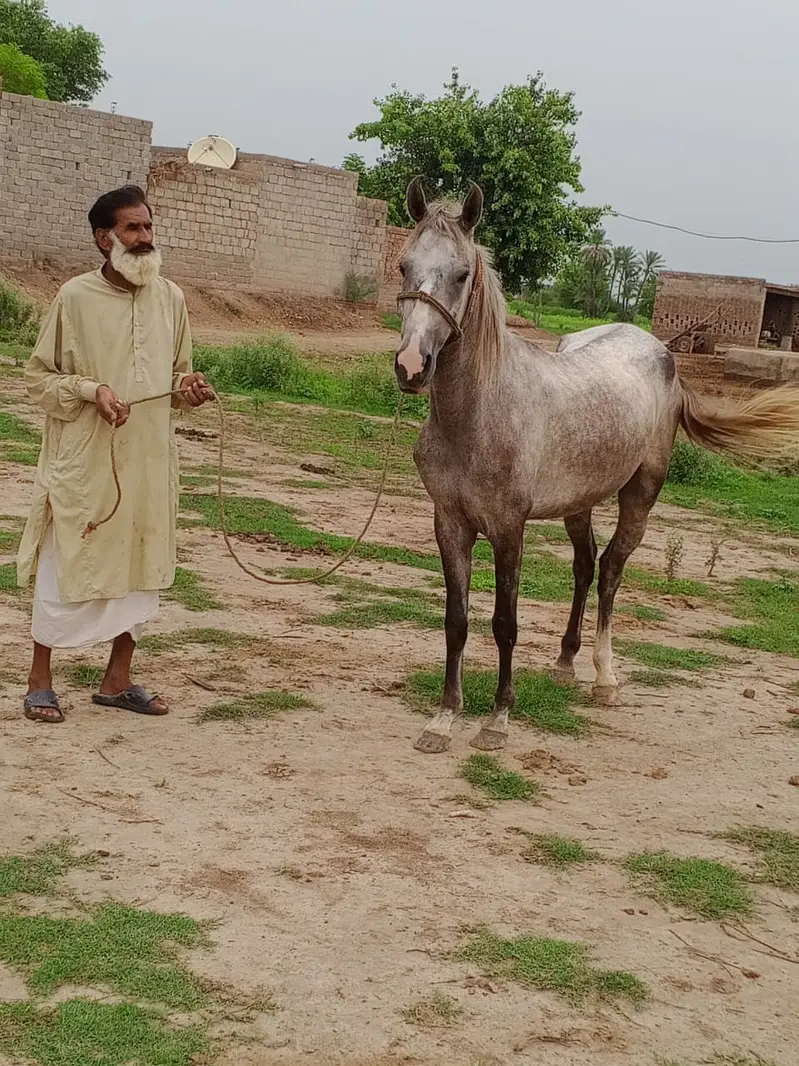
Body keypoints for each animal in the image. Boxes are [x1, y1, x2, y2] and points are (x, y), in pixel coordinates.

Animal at [394, 177, 799, 755]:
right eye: (404, 266)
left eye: (462, 274)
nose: (411, 366)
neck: (478, 413)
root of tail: (663, 354)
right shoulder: (449, 523)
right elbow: (457, 621)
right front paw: (444, 719)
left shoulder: (508, 529)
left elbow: (504, 623)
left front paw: (497, 720)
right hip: (578, 503)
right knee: (585, 567)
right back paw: (565, 662)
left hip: (641, 494)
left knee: (609, 571)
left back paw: (605, 678)